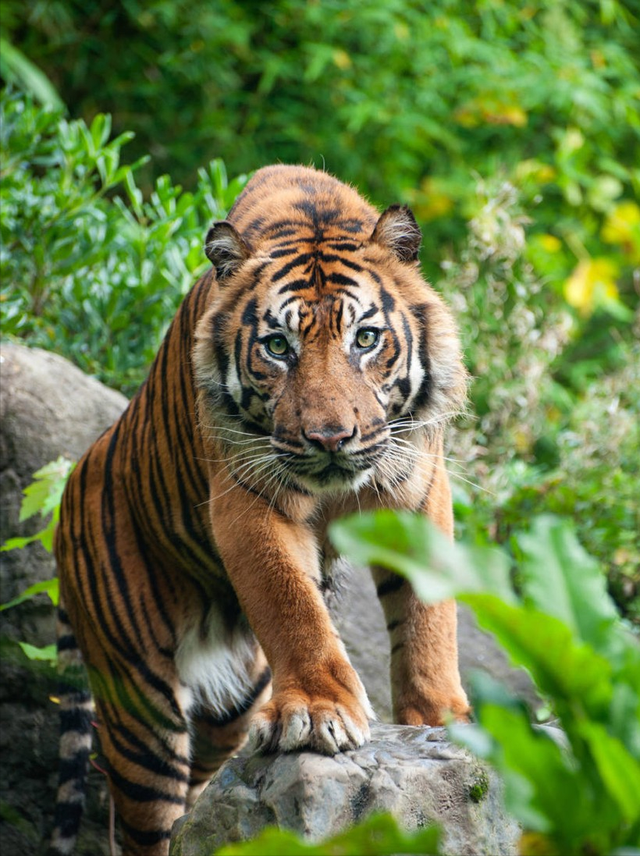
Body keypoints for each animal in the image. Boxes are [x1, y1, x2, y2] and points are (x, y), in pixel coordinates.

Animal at [47, 162, 470, 856]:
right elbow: (289, 601)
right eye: (277, 346)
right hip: (140, 708)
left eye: (366, 339)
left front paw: (440, 720)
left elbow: (428, 617)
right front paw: (320, 713)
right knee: (144, 821)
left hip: (233, 705)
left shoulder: (415, 485)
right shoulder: (250, 495)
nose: (330, 438)